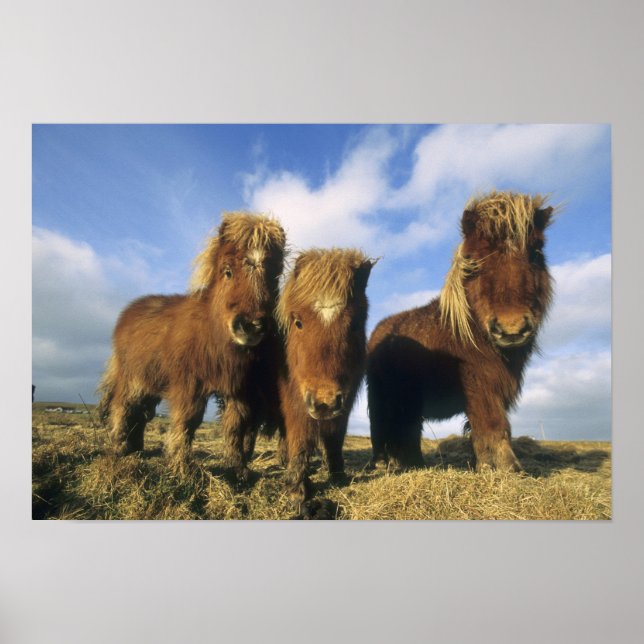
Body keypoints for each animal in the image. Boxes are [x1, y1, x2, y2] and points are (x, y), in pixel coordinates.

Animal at [97, 212, 286, 479]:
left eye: (273, 277)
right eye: (227, 271)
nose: (251, 325)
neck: (212, 333)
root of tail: (127, 313)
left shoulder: (238, 389)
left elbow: (235, 426)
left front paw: (237, 470)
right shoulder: (189, 384)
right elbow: (187, 421)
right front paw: (181, 467)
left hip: (151, 383)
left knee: (142, 414)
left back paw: (136, 449)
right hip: (133, 379)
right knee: (122, 407)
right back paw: (119, 449)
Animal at [275, 248, 376, 506]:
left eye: (355, 324)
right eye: (298, 322)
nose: (324, 403)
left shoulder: (344, 403)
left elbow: (335, 438)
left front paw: (338, 475)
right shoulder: (295, 400)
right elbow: (299, 437)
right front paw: (297, 488)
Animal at [367, 191, 554, 471]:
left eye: (536, 252)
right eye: (474, 262)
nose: (511, 329)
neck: (472, 331)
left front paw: (488, 465)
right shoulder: (479, 384)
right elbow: (492, 423)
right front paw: (507, 469)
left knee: (407, 430)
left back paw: (414, 464)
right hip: (382, 397)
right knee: (382, 428)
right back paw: (384, 464)